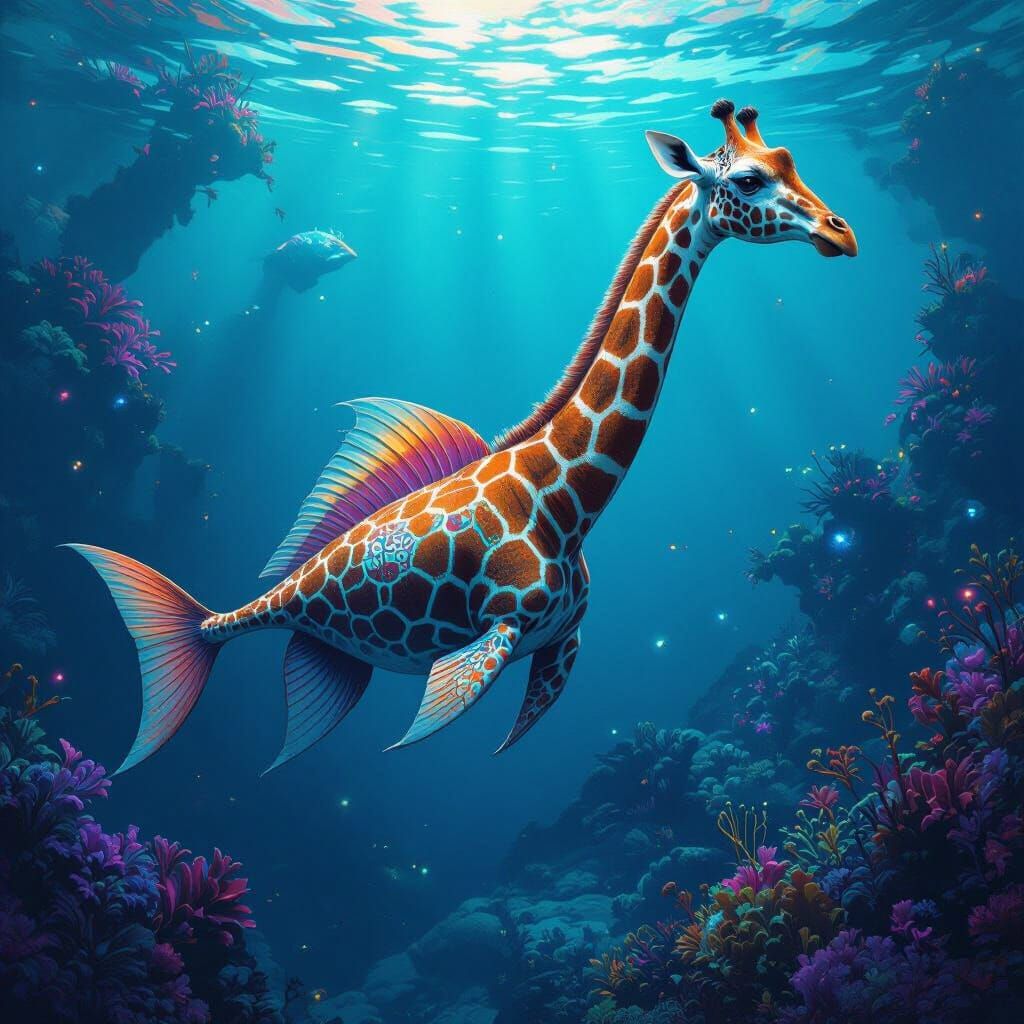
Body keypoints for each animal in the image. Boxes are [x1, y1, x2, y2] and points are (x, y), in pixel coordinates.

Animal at [65, 100, 856, 776]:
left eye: (789, 160)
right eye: (749, 179)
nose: (841, 233)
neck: (568, 505)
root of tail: (207, 621)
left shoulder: (561, 637)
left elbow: (534, 707)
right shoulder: (499, 631)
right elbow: (444, 712)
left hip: (338, 660)